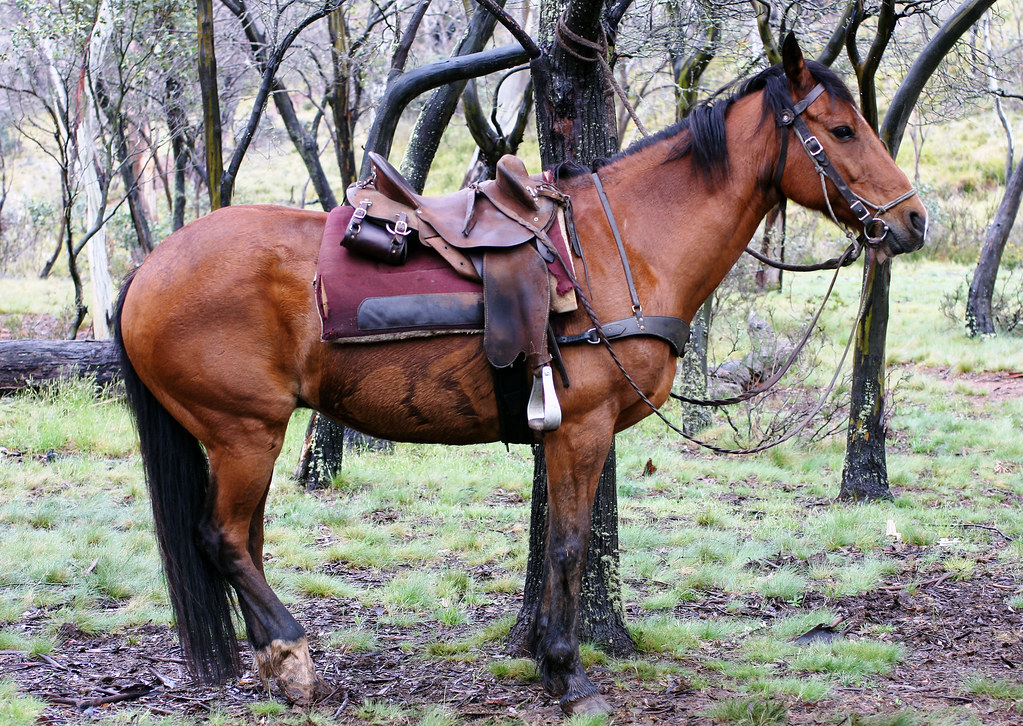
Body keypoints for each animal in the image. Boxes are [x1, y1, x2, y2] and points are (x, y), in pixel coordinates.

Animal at [114, 36, 926, 716]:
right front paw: (566, 672)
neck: (622, 246)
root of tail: (148, 269)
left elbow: (562, 545)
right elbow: (567, 545)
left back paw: (276, 667)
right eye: (843, 131)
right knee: (223, 538)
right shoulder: (582, 429)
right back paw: (292, 653)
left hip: (250, 437)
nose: (914, 221)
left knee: (245, 540)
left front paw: (547, 659)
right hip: (244, 432)